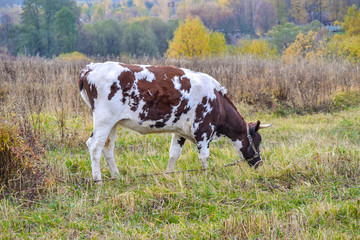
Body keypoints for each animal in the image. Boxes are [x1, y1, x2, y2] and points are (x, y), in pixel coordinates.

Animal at [78, 62, 270, 182]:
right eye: (258, 141)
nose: (259, 164)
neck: (217, 100)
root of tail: (92, 67)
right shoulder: (203, 129)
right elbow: (204, 156)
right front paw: (206, 177)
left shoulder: (180, 131)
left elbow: (174, 154)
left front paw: (168, 175)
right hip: (104, 119)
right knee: (94, 146)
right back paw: (98, 181)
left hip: (113, 123)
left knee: (107, 147)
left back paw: (116, 176)